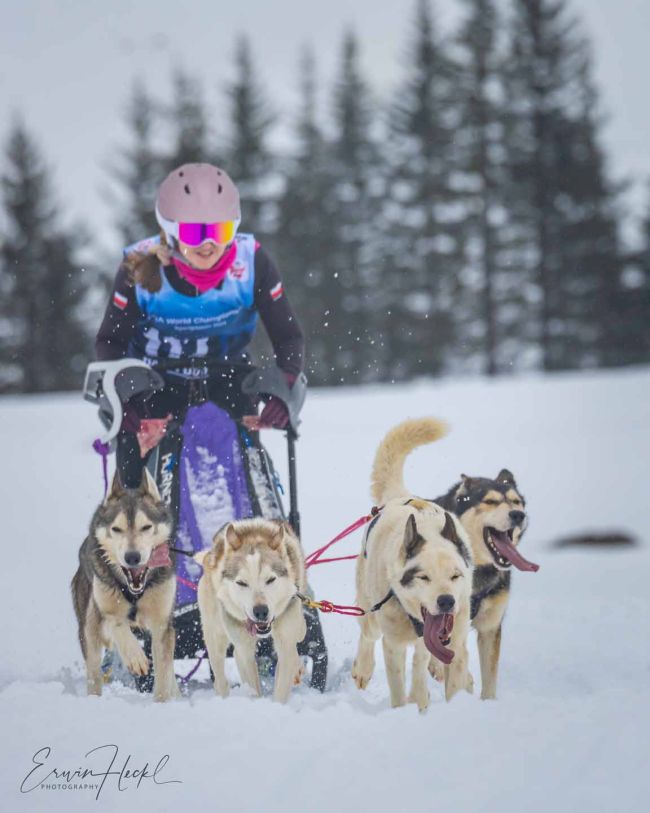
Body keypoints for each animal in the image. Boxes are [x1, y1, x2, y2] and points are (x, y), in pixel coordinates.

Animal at [71, 470, 178, 702]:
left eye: (146, 527)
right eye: (116, 529)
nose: (132, 557)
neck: (135, 592)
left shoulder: (162, 624)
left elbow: (163, 673)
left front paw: (163, 703)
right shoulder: (105, 612)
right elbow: (116, 623)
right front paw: (135, 657)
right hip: (89, 631)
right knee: (94, 672)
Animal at [197, 518, 307, 703]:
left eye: (270, 579)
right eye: (241, 582)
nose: (261, 611)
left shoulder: (286, 642)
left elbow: (284, 675)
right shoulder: (245, 650)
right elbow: (251, 684)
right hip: (215, 636)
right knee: (221, 677)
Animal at [352, 418, 474, 710]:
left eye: (455, 576)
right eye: (424, 577)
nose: (446, 601)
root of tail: (401, 496)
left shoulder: (455, 640)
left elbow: (445, 675)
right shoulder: (393, 644)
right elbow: (398, 688)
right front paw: (403, 711)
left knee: (421, 660)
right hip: (371, 614)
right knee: (367, 636)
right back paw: (363, 668)